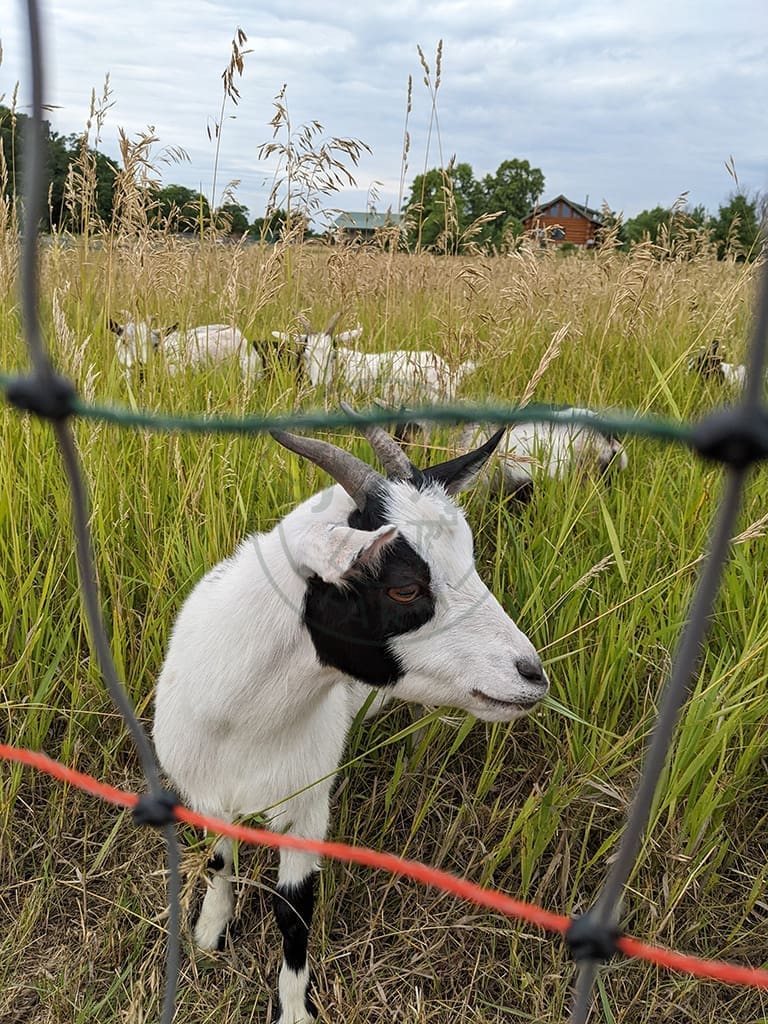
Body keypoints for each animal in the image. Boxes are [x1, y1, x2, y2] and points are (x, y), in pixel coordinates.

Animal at [152, 414, 549, 1023]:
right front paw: (209, 935)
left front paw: (294, 1011)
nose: (531, 675)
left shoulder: (306, 810)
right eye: (405, 587)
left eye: (471, 560)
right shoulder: (204, 793)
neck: (244, 725)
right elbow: (220, 862)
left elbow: (294, 914)